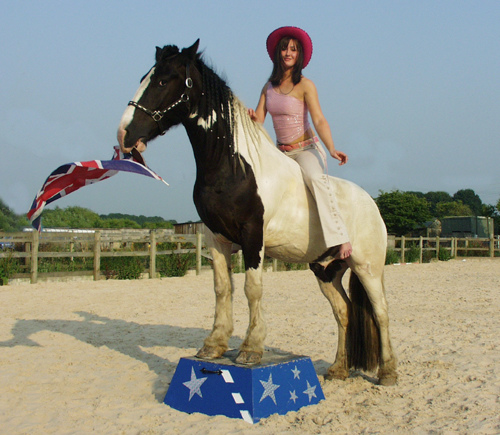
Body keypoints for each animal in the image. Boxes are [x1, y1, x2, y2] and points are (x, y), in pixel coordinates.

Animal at [117, 40, 398, 386]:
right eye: (146, 77)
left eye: (163, 80)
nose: (124, 135)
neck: (234, 167)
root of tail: (371, 205)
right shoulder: (216, 238)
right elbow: (222, 288)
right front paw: (214, 344)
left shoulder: (253, 237)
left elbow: (252, 289)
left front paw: (251, 348)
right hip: (326, 271)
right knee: (343, 312)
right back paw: (338, 369)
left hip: (367, 267)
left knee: (381, 312)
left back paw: (387, 372)